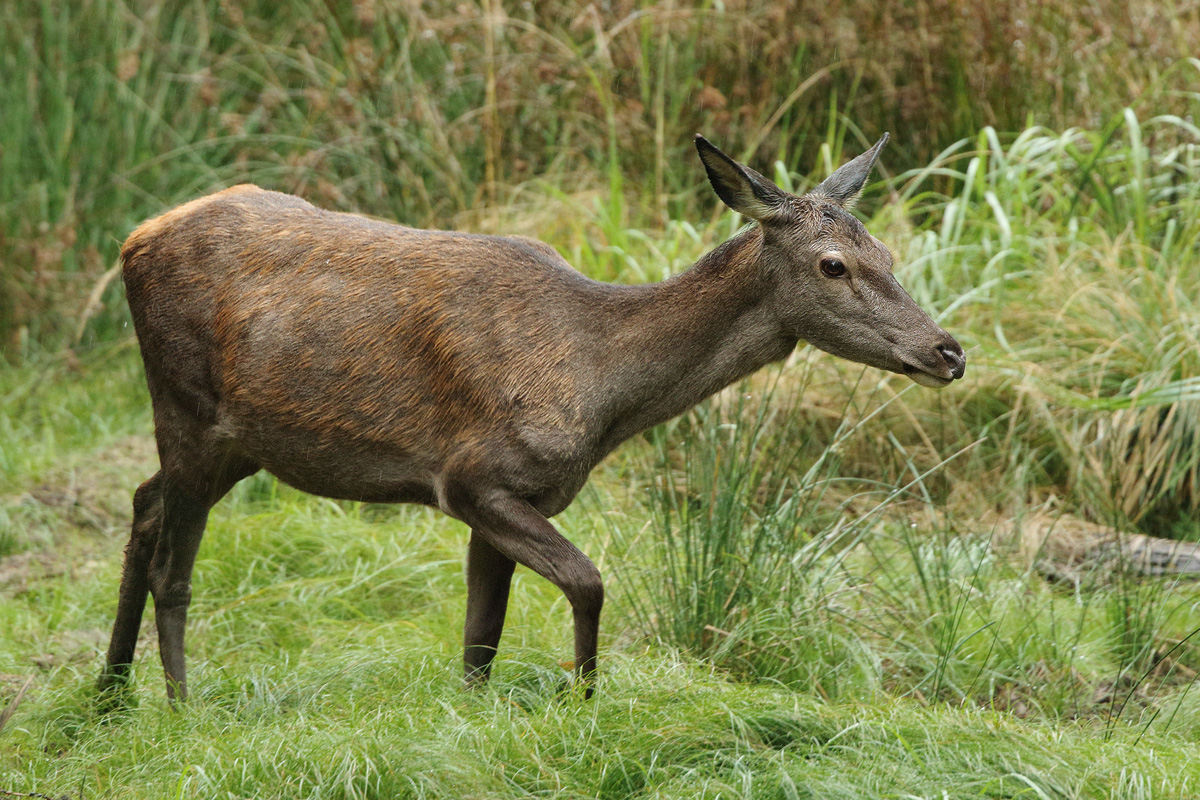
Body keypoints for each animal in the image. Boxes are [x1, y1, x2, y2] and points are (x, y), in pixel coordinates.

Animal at [98, 131, 969, 700]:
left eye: (889, 253)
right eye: (834, 264)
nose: (948, 352)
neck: (598, 381)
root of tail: (133, 238)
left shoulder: (507, 499)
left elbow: (480, 638)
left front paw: (474, 721)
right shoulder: (474, 477)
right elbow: (587, 582)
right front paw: (584, 701)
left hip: (239, 439)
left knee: (143, 507)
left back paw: (110, 694)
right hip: (185, 405)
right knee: (174, 563)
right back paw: (180, 705)